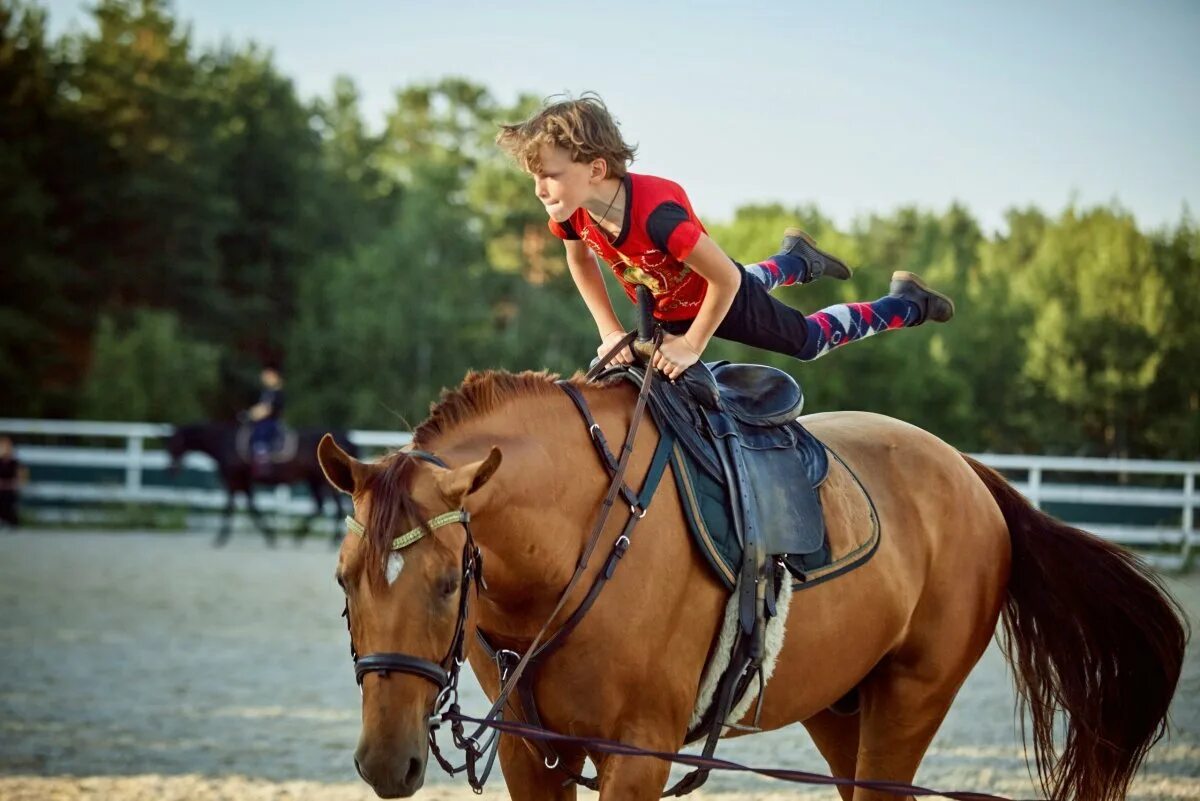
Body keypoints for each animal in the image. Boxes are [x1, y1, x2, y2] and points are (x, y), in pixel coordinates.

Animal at [166, 422, 357, 546]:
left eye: (173, 445)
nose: (172, 469)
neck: (224, 442)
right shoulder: (243, 481)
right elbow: (252, 507)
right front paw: (270, 535)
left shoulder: (233, 479)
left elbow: (231, 507)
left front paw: (220, 538)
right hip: (314, 480)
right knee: (320, 506)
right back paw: (301, 537)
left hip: (321, 481)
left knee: (332, 507)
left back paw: (328, 540)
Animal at [319, 371, 1190, 801]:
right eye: (343, 578)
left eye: (445, 583)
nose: (385, 761)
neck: (574, 546)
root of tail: (971, 474)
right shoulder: (536, 755)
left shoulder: (637, 754)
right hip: (843, 711)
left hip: (910, 701)